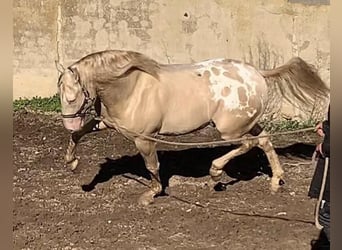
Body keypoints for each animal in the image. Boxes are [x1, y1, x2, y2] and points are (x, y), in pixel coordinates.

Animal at [55, 49, 328, 205]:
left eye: (73, 96)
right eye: (59, 92)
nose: (68, 122)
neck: (131, 88)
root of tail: (257, 74)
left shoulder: (145, 139)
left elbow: (152, 166)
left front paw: (151, 194)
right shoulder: (107, 123)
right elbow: (78, 134)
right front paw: (72, 163)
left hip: (229, 129)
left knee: (247, 144)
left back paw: (216, 172)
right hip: (247, 122)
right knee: (265, 140)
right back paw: (276, 180)